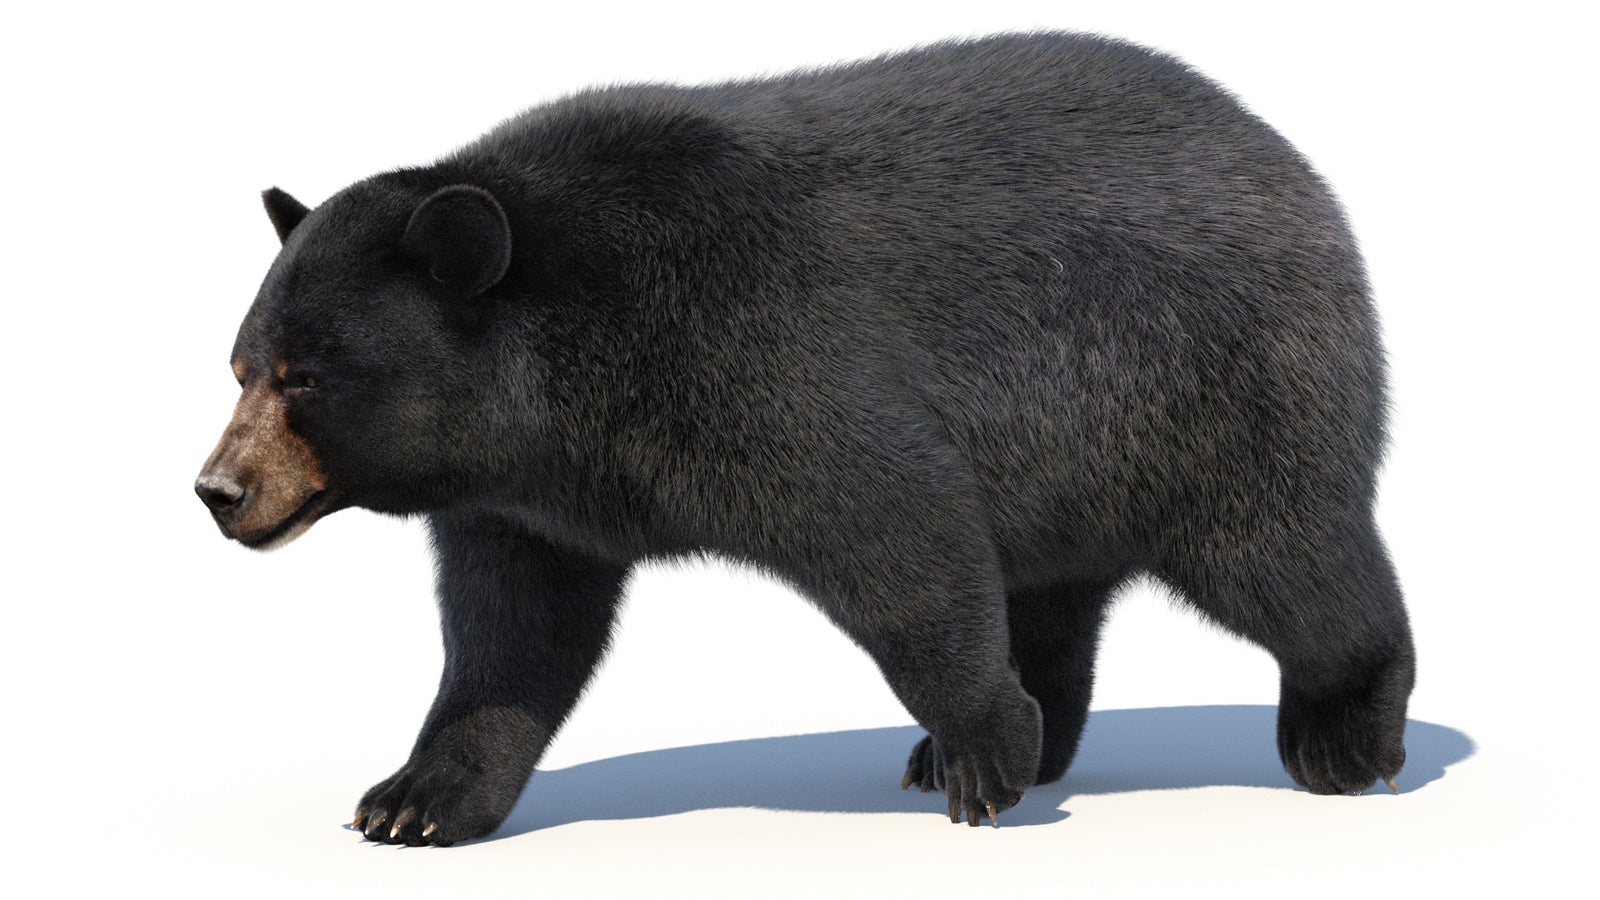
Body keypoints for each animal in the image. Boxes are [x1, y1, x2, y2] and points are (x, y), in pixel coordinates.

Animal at [196, 32, 1414, 846]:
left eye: (309, 377)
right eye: (243, 365)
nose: (218, 490)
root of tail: (1294, 167)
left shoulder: (754, 351)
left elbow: (897, 526)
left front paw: (980, 749)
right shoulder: (524, 499)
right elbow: (511, 635)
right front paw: (414, 797)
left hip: (1200, 388)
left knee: (1285, 557)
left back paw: (1345, 733)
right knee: (1055, 592)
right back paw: (1026, 736)